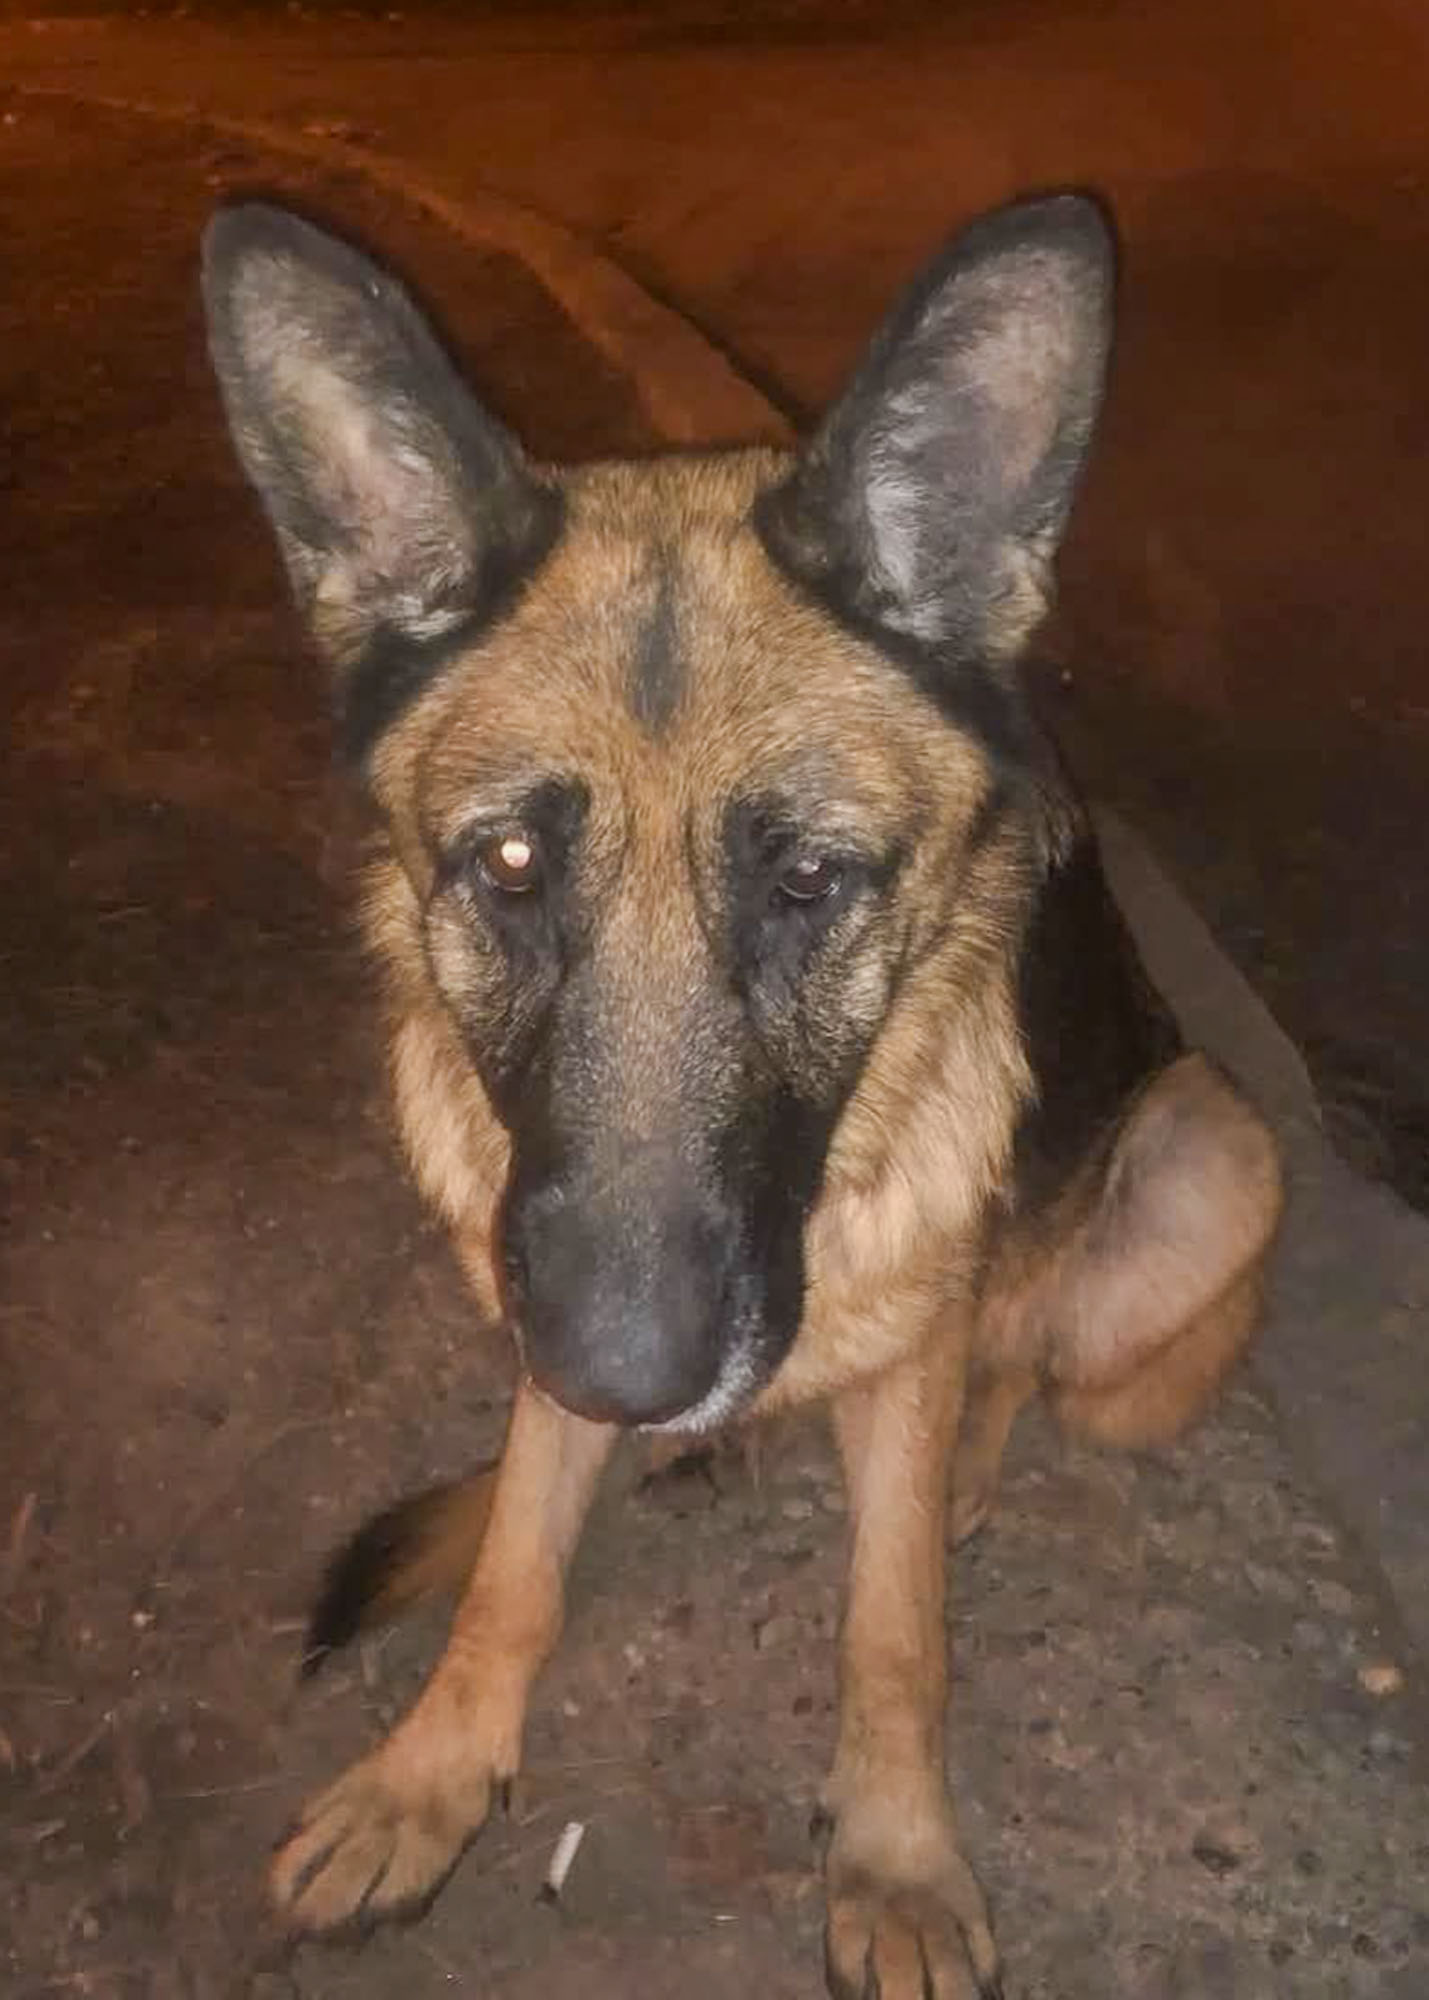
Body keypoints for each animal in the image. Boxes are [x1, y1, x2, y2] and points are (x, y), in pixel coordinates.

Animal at [202, 192, 1282, 1997]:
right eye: (506, 866)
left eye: (806, 880)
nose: (624, 1378)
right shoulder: (546, 1297)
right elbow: (511, 1568)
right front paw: (433, 1772)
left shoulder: (898, 1320)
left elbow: (891, 1633)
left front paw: (896, 1859)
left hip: (1212, 1157)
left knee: (1015, 1357)